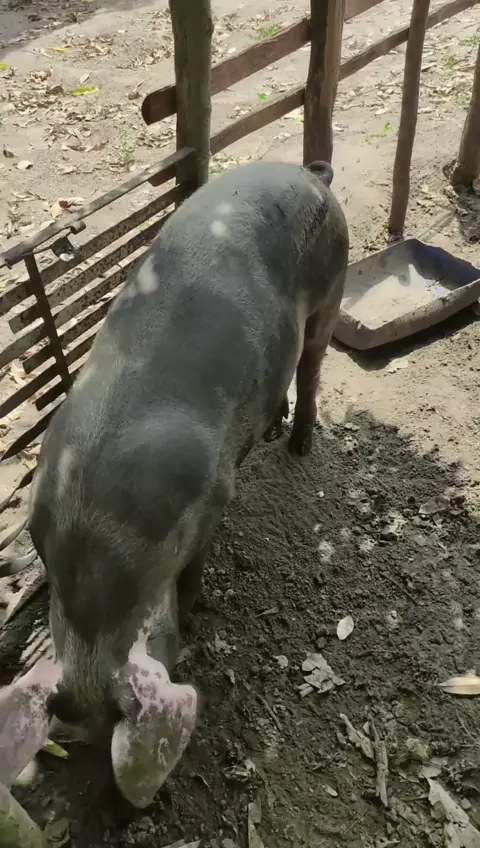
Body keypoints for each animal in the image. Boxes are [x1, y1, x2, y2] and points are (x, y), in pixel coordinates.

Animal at [0, 159, 349, 809]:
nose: (121, 816)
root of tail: (310, 174)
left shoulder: (210, 501)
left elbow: (193, 577)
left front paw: (193, 614)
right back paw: (274, 430)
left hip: (332, 286)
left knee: (313, 367)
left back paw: (298, 446)